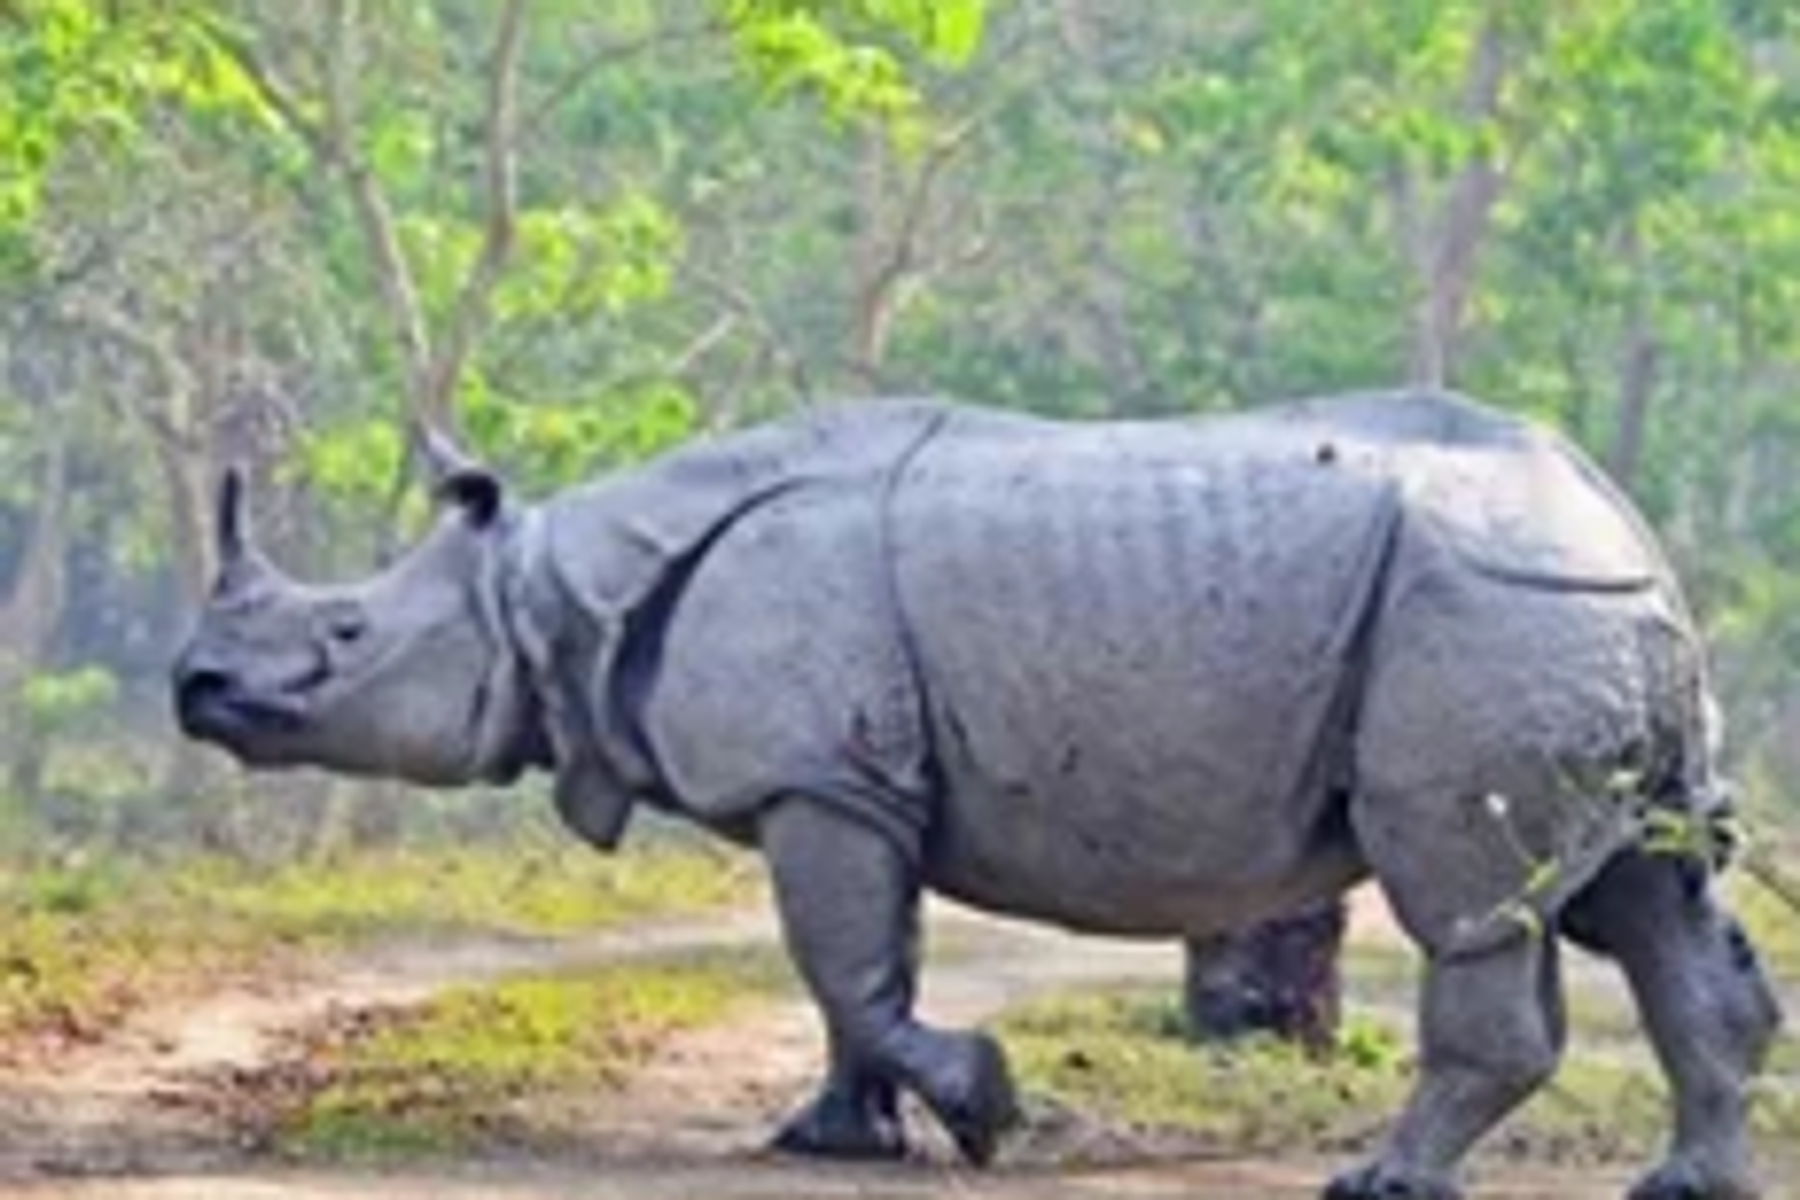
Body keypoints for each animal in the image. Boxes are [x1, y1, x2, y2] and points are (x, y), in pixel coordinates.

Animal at [173, 391, 1782, 1199]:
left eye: (343, 636)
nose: (193, 684)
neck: (553, 590)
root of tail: (1619, 521)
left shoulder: (817, 777)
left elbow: (848, 965)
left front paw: (986, 1115)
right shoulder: (853, 783)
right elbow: (853, 972)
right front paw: (828, 1141)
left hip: (1492, 612)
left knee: (1470, 902)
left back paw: (1381, 1186)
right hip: (1569, 618)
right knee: (1646, 898)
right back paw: (1687, 1188)